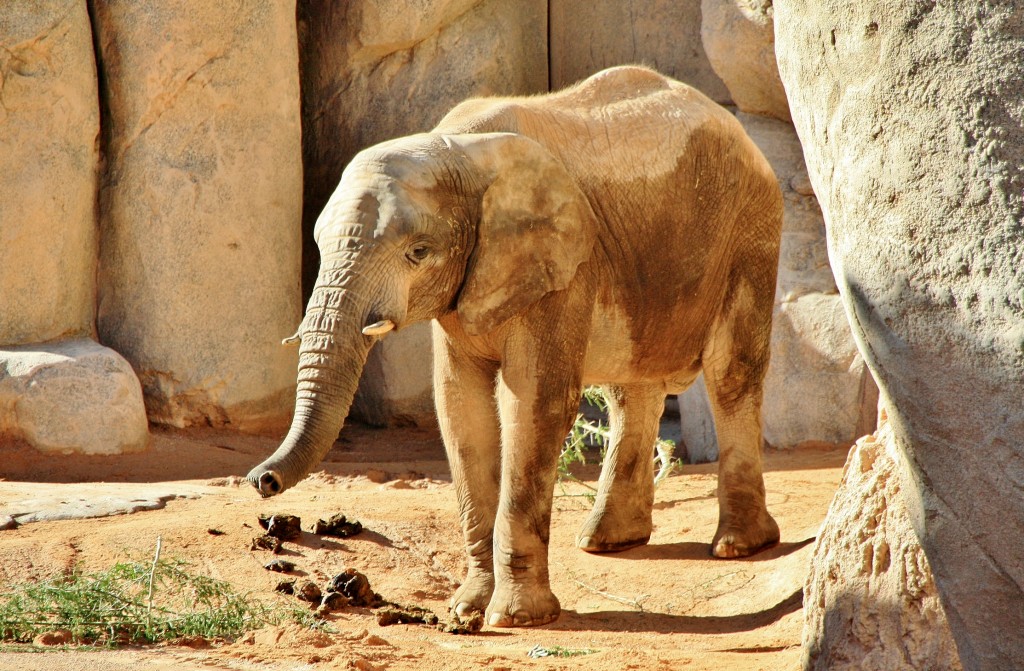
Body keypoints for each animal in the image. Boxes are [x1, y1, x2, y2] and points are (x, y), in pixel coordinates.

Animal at [247, 65, 782, 626]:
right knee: (629, 392)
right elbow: (461, 409)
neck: (456, 149)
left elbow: (534, 405)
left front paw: (515, 618)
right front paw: (467, 610)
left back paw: (737, 546)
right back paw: (607, 541)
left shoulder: (561, 266)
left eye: (419, 252)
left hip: (750, 231)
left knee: (731, 375)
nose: (262, 482)